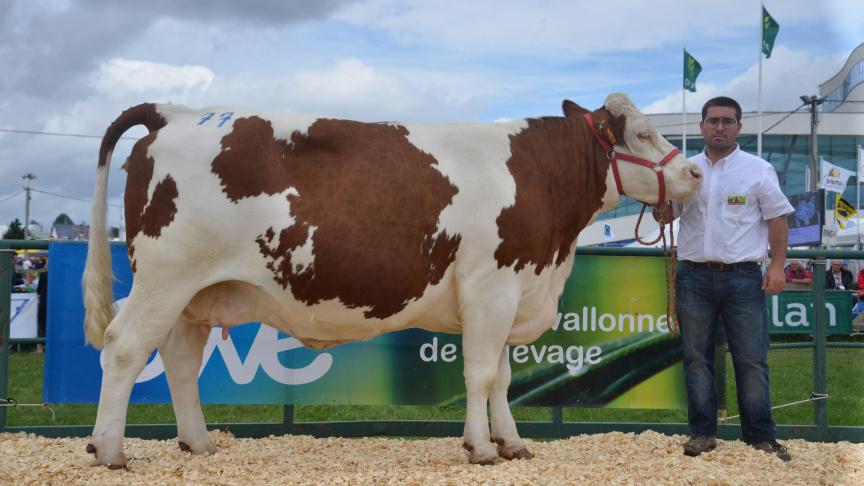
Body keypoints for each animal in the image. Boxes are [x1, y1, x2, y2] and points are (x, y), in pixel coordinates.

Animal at [82, 92, 704, 468]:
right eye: (643, 135)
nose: (695, 173)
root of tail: (176, 112)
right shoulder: (490, 288)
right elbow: (481, 375)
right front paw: (480, 447)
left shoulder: (511, 292)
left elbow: (502, 379)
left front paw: (512, 443)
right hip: (165, 277)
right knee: (125, 347)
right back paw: (110, 449)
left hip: (195, 291)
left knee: (180, 361)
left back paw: (200, 442)